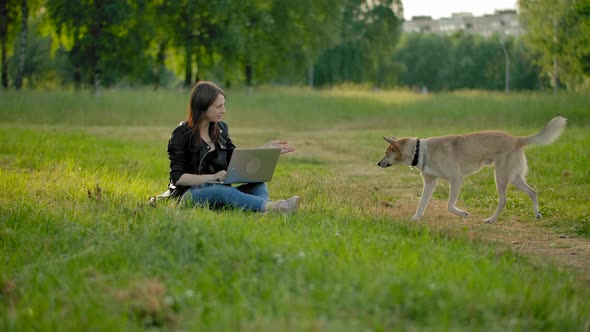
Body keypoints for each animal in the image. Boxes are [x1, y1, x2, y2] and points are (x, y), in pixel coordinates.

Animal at [380, 116, 568, 223]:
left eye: (387, 153)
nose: (378, 163)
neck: (421, 150)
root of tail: (516, 139)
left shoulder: (456, 179)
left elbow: (450, 206)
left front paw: (463, 214)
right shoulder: (430, 183)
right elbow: (422, 204)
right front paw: (415, 219)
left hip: (500, 176)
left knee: (503, 200)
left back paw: (491, 220)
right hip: (514, 177)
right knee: (532, 192)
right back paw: (537, 214)